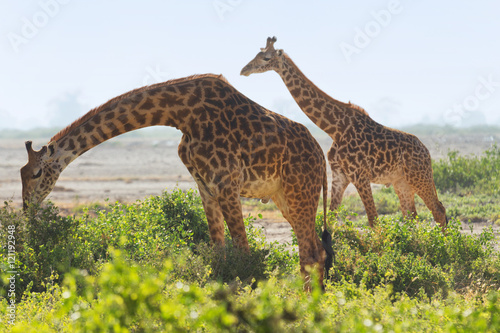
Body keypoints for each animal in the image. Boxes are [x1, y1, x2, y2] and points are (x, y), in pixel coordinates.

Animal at [20, 74, 332, 284]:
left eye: (36, 173)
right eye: (21, 174)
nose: (26, 210)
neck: (181, 114)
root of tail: (321, 156)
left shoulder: (227, 184)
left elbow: (244, 254)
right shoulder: (206, 187)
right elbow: (218, 254)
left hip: (300, 192)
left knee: (311, 253)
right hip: (284, 197)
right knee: (314, 250)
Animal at [240, 36, 448, 228]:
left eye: (266, 58)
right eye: (257, 54)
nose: (244, 70)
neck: (335, 128)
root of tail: (427, 152)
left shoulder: (360, 175)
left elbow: (373, 220)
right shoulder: (340, 174)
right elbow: (331, 218)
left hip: (418, 177)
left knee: (438, 210)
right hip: (401, 182)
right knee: (411, 216)